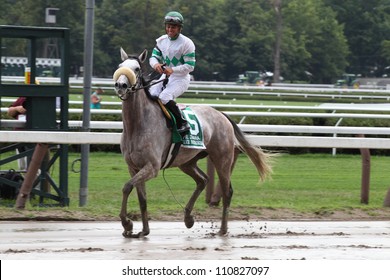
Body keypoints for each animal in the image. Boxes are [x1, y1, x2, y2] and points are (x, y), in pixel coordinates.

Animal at [112, 48, 272, 238]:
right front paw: (142, 230)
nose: (121, 85)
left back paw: (222, 230)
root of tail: (222, 115)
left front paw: (127, 223)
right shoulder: (134, 167)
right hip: (187, 162)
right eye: (120, 66)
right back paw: (188, 217)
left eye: (136, 68)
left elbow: (127, 187)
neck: (137, 124)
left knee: (227, 191)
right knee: (203, 180)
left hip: (222, 159)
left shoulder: (152, 167)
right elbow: (140, 197)